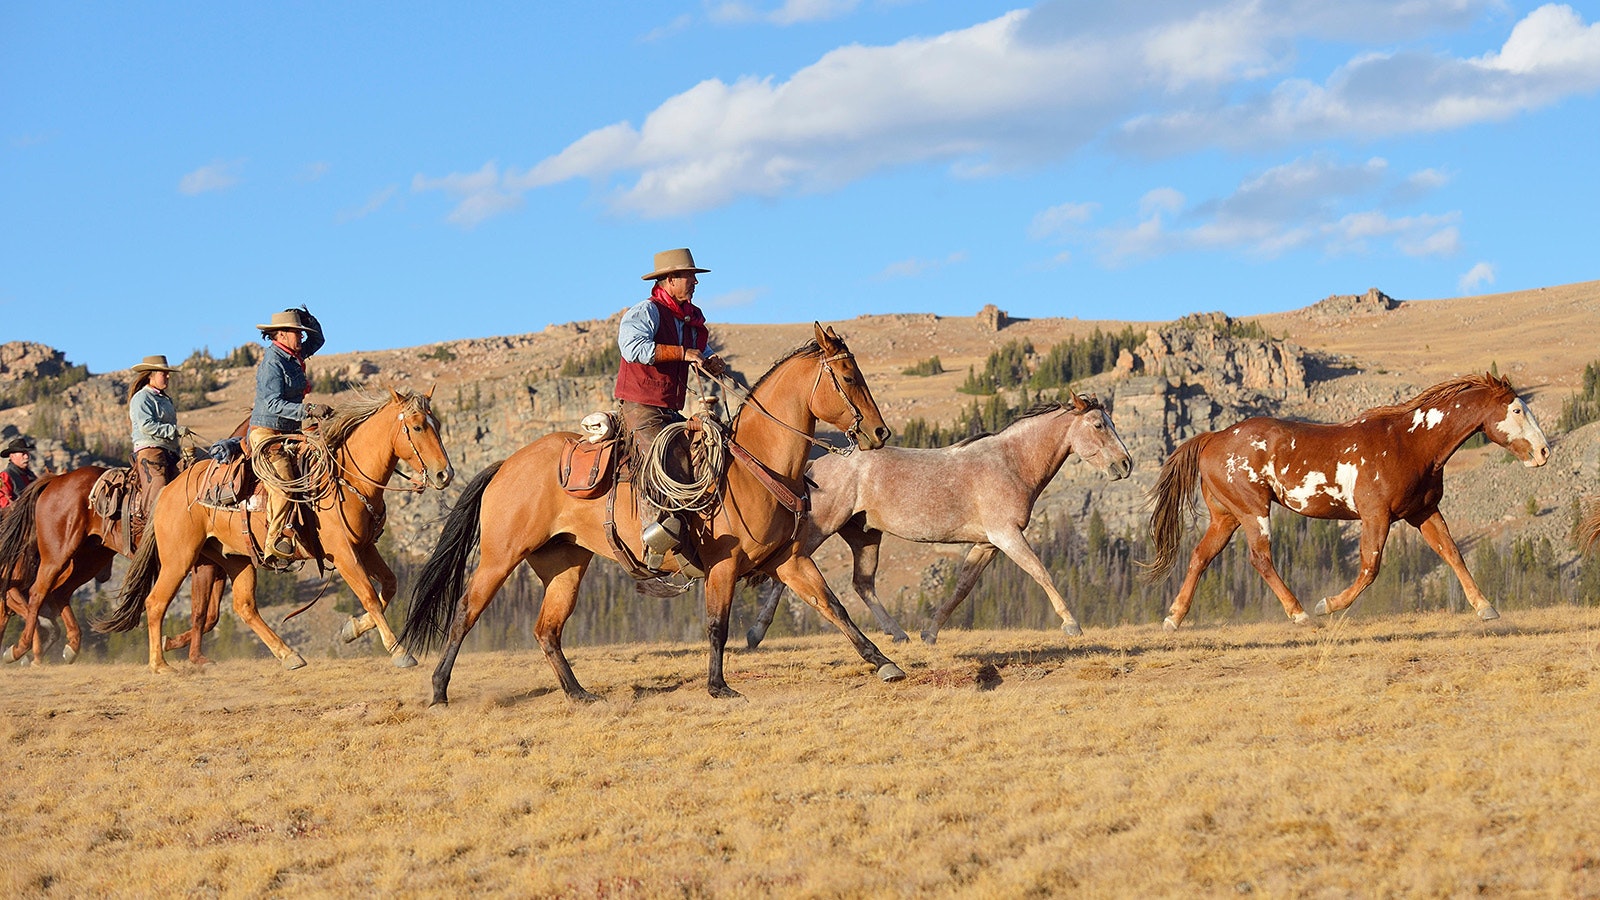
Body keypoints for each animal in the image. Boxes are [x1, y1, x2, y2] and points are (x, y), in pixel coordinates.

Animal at [0, 464, 228, 662]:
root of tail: (56, 479)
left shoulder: (220, 569)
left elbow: (212, 616)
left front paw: (174, 643)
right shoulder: (202, 565)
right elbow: (200, 612)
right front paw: (193, 656)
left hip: (89, 559)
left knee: (58, 593)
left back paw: (71, 645)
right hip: (56, 556)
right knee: (36, 594)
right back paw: (20, 648)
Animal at [96, 389, 454, 669]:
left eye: (437, 424)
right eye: (417, 426)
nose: (444, 474)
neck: (345, 478)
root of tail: (168, 491)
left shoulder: (365, 547)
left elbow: (389, 586)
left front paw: (351, 630)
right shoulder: (343, 553)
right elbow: (369, 595)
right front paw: (400, 651)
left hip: (235, 558)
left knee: (244, 607)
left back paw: (288, 655)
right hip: (179, 558)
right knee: (156, 602)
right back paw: (160, 665)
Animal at [400, 321, 902, 701]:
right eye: (849, 377)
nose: (880, 432)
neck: (755, 463)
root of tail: (507, 464)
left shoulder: (790, 560)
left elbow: (834, 607)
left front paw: (884, 662)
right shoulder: (723, 565)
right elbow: (717, 625)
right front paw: (719, 686)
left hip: (565, 563)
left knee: (547, 629)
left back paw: (578, 693)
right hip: (500, 556)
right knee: (465, 611)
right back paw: (439, 690)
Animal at [748, 392, 1139, 643]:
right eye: (1098, 425)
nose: (1126, 464)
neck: (1011, 462)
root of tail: (813, 466)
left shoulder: (987, 544)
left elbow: (962, 589)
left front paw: (930, 632)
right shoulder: (1007, 536)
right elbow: (1041, 572)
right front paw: (1072, 625)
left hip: (864, 535)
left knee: (863, 584)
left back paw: (899, 634)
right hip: (822, 527)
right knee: (787, 571)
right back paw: (756, 632)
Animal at [1152, 374, 1548, 627]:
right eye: (1517, 410)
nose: (1544, 451)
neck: (1412, 442)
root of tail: (1213, 438)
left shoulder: (1423, 511)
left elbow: (1452, 554)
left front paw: (1486, 608)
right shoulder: (1377, 515)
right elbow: (1370, 568)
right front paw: (1328, 604)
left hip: (1227, 516)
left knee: (1200, 556)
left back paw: (1173, 617)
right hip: (1253, 511)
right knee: (1260, 559)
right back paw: (1301, 614)